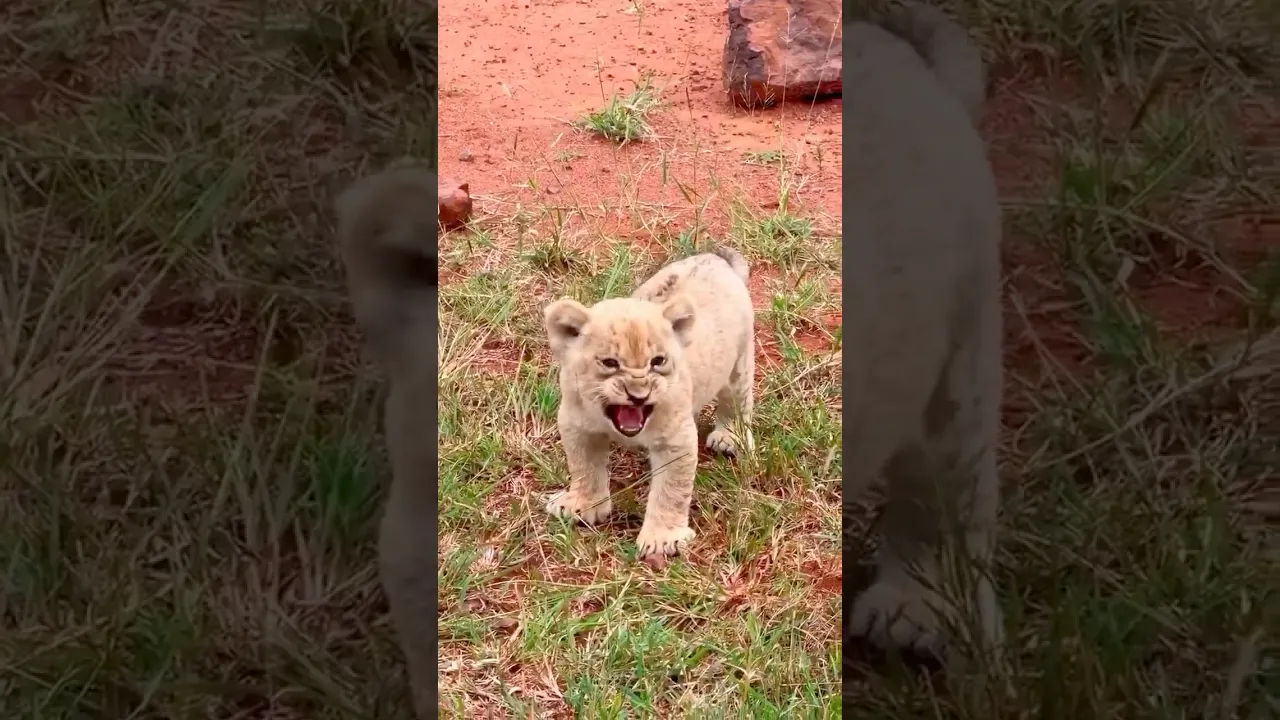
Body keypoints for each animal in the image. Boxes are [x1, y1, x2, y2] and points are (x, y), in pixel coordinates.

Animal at [542, 248, 755, 559]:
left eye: (658, 361)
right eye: (610, 363)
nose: (639, 395)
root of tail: (714, 258)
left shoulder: (675, 439)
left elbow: (671, 489)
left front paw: (662, 540)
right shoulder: (576, 424)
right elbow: (583, 466)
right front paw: (583, 505)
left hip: (738, 364)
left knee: (736, 400)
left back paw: (730, 438)